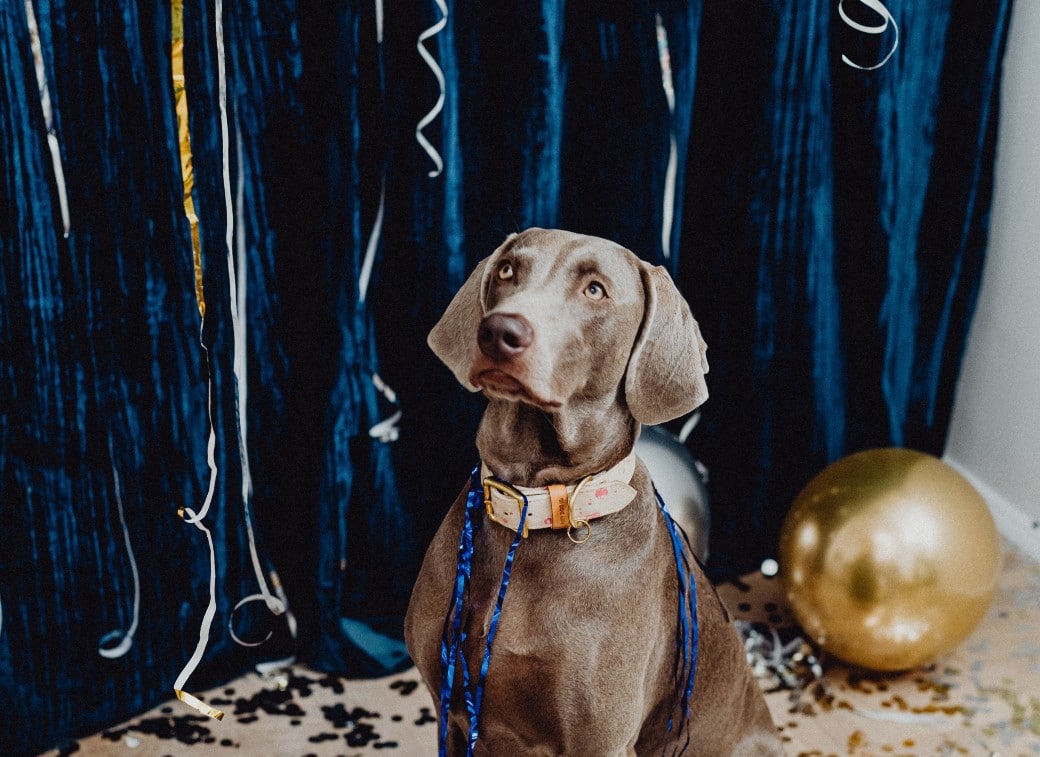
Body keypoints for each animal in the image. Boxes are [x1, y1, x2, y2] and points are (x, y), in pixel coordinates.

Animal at [405, 227, 782, 752]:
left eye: (595, 290)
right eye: (507, 270)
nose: (499, 332)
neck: (534, 505)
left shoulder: (600, 737)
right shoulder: (450, 712)